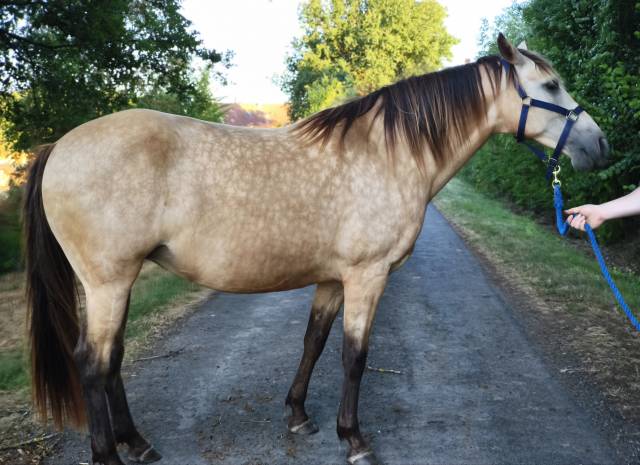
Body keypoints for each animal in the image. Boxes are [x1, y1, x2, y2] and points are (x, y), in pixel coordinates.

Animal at [23, 34, 608, 465]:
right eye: (550, 84)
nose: (599, 146)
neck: (391, 152)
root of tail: (59, 146)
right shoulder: (368, 276)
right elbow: (354, 356)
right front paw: (354, 439)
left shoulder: (333, 278)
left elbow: (315, 342)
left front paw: (298, 415)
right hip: (108, 281)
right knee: (93, 363)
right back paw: (110, 453)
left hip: (116, 284)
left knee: (113, 360)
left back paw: (138, 443)